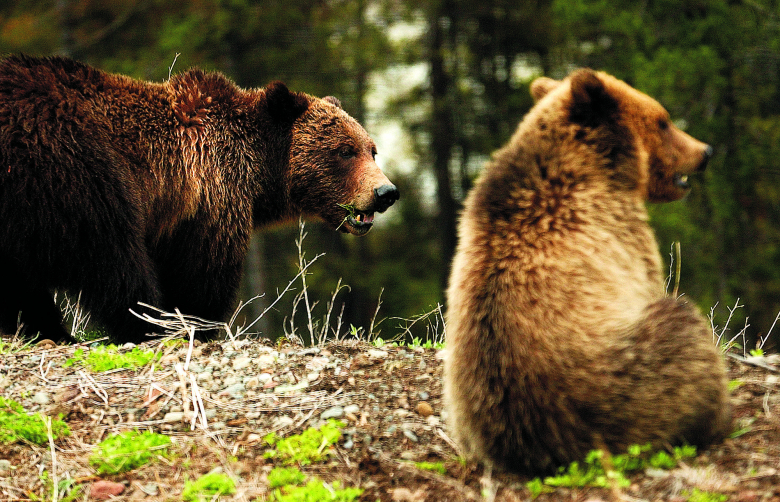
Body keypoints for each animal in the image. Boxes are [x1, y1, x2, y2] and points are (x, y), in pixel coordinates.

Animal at [0, 54, 399, 344]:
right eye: (345, 151)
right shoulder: (209, 197)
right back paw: (141, 325)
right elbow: (201, 275)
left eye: (372, 150)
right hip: (71, 160)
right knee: (110, 253)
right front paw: (195, 325)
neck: (260, 174)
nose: (386, 192)